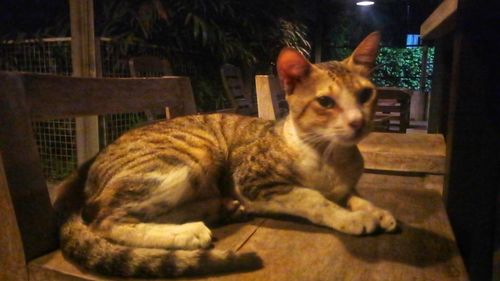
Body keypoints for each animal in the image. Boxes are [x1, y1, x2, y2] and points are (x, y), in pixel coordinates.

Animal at [54, 31, 396, 276]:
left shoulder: (344, 184)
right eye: (326, 102)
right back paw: (189, 233)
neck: (330, 156)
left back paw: (218, 210)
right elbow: (313, 198)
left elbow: (354, 195)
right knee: (105, 220)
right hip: (192, 156)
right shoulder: (253, 180)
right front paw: (352, 218)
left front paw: (376, 211)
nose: (358, 122)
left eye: (365, 94)